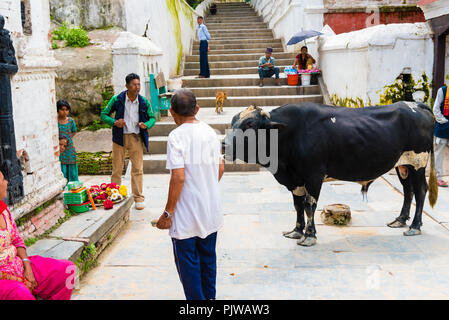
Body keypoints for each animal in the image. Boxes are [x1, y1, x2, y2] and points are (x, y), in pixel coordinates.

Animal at [224, 102, 438, 248]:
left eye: (250, 125)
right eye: (233, 122)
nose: (224, 144)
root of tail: (414, 104)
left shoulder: (313, 176)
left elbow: (309, 205)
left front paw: (309, 236)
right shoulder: (296, 180)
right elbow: (297, 205)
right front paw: (296, 231)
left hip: (419, 163)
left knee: (420, 190)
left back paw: (414, 226)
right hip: (403, 165)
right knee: (408, 191)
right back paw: (400, 220)